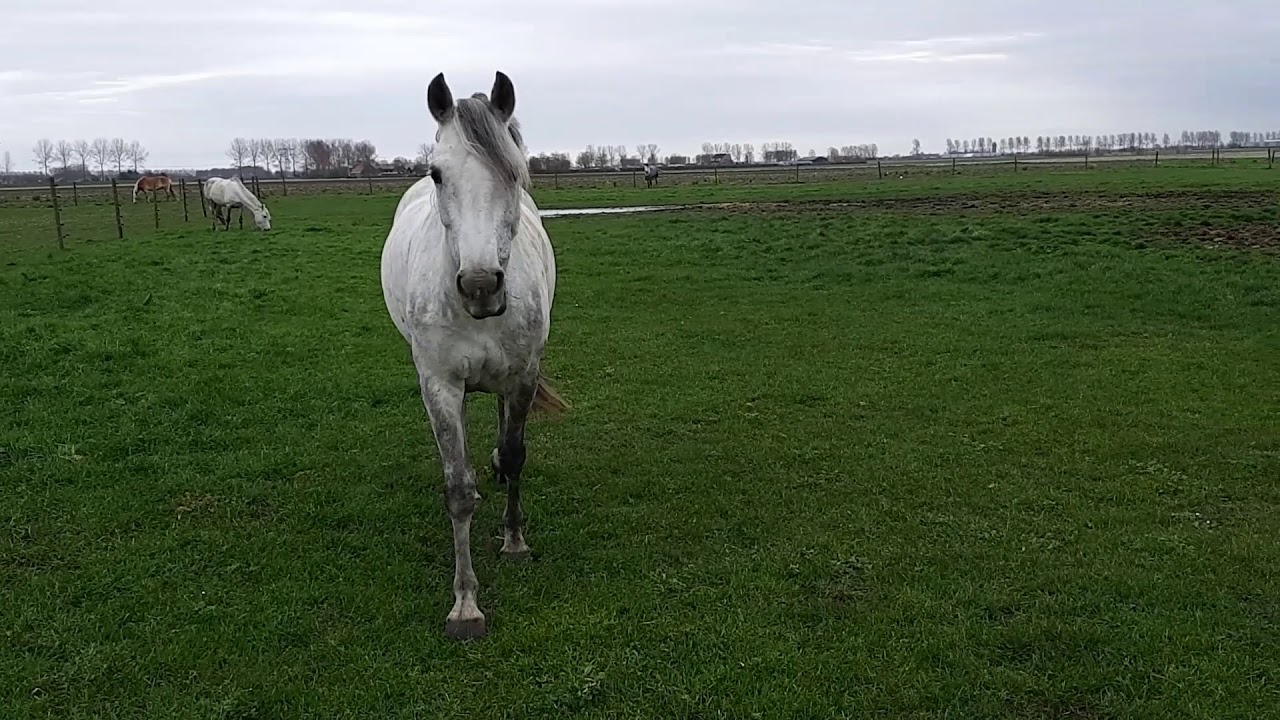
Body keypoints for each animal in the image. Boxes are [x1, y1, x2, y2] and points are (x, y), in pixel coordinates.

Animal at [380, 70, 568, 640]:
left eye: (514, 172)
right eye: (437, 174)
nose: (481, 286)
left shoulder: (523, 374)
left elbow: (515, 452)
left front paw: (514, 540)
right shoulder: (439, 384)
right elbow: (458, 489)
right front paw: (465, 603)